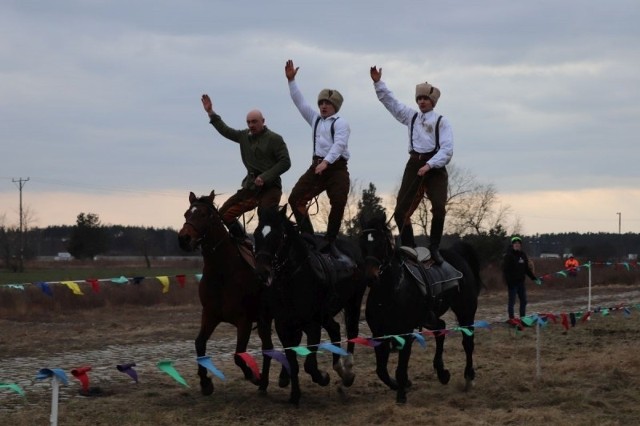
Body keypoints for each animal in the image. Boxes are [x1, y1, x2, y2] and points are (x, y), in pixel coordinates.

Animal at [178, 190, 276, 396]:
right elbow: (199, 344)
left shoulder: (244, 321)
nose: (184, 239)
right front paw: (205, 383)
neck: (223, 272)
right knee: (268, 347)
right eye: (186, 214)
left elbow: (238, 356)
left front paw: (253, 376)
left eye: (203, 215)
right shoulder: (210, 315)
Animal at [252, 206, 368, 406]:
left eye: (278, 236)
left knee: (351, 331)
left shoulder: (312, 325)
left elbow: (309, 364)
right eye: (256, 234)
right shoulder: (283, 325)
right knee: (335, 329)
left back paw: (347, 373)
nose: (261, 273)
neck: (294, 279)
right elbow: (293, 361)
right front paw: (295, 395)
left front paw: (323, 377)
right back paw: (339, 368)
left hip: (353, 302)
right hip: (325, 315)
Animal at [358, 213, 482, 402]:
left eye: (381, 243)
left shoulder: (405, 332)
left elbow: (401, 367)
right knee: (441, 328)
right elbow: (381, 370)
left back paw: (468, 377)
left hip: (465, 310)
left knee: (468, 342)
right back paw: (442, 373)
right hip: (429, 318)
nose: (370, 277)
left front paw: (401, 394)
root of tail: (456, 254)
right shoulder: (379, 333)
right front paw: (401, 385)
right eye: (362, 244)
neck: (389, 291)